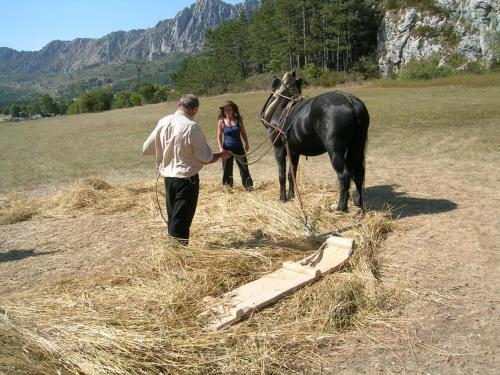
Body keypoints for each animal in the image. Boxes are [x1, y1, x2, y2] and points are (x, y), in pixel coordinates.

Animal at [264, 71, 370, 212]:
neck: (282, 105)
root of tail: (350, 101)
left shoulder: (279, 149)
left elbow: (282, 175)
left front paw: (283, 198)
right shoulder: (293, 152)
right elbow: (291, 174)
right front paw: (292, 195)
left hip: (336, 152)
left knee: (344, 176)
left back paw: (341, 207)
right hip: (356, 147)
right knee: (358, 173)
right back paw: (358, 203)